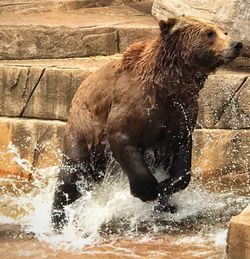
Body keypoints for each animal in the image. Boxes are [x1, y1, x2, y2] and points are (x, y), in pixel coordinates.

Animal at [52, 16, 242, 230]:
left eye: (224, 31)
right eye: (209, 33)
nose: (236, 44)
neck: (169, 87)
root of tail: (77, 93)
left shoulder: (181, 114)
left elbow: (182, 161)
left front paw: (165, 189)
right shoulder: (134, 104)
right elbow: (122, 137)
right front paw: (147, 190)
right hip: (84, 131)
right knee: (73, 173)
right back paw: (58, 218)